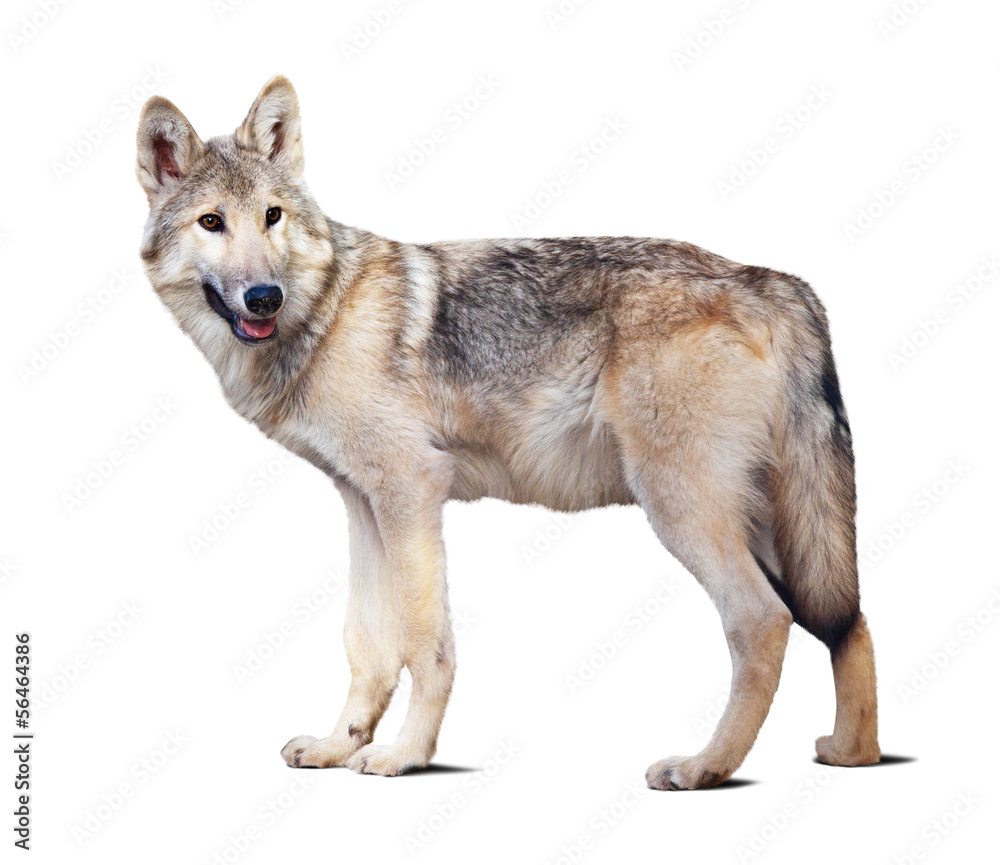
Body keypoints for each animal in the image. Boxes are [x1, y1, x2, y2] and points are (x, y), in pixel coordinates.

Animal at [136, 76, 880, 789]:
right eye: (212, 222)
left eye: (272, 216)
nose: (264, 297)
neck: (329, 311)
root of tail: (777, 282)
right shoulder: (363, 502)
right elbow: (368, 645)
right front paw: (337, 746)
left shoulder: (411, 491)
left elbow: (425, 644)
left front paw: (404, 755)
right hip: (776, 530)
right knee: (851, 624)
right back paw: (853, 755)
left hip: (683, 511)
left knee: (764, 622)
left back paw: (704, 767)